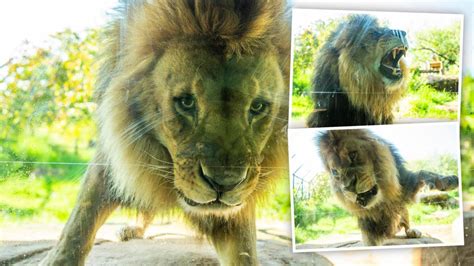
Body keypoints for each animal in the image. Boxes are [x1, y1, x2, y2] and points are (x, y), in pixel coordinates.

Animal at [40, 1, 290, 264]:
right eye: (186, 102)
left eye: (258, 107)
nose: (224, 184)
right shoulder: (114, 152)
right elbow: (83, 215)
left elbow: (244, 251)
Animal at [316, 129, 458, 245]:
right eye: (335, 172)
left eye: (352, 155)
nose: (348, 187)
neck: (382, 199)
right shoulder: (368, 226)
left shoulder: (405, 186)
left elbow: (424, 172)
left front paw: (450, 180)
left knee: (405, 221)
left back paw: (412, 231)